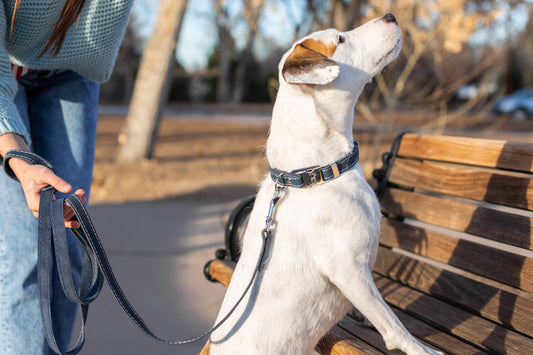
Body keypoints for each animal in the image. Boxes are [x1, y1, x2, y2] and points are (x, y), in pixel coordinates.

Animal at [206, 12, 442, 354]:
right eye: (340, 39)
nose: (390, 15)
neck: (313, 173)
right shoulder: (348, 266)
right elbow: (392, 322)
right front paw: (418, 348)